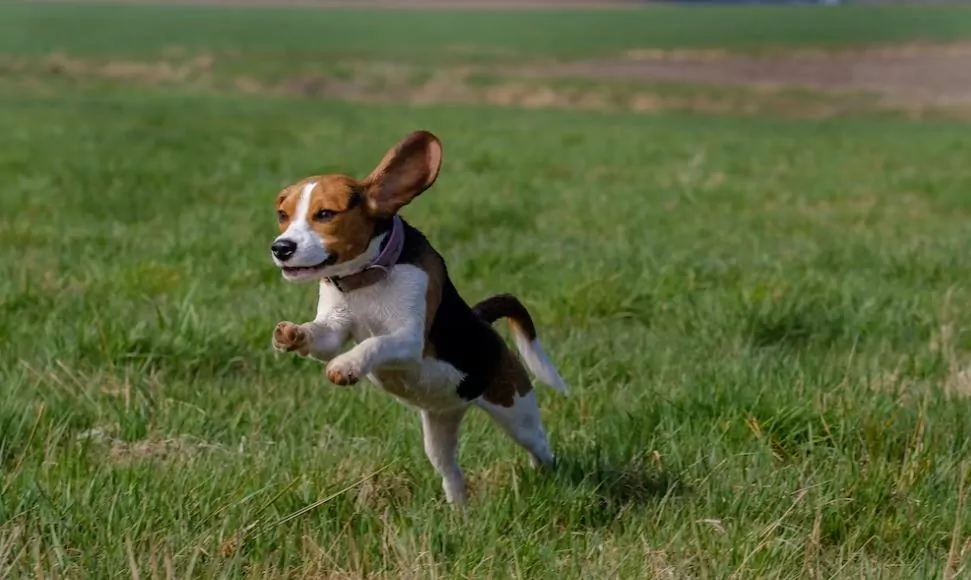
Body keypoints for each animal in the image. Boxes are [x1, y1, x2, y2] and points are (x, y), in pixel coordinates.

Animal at [268, 129, 568, 506]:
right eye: (283, 214)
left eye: (325, 214)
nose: (281, 248)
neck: (366, 279)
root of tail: (483, 323)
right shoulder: (334, 327)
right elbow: (321, 336)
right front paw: (290, 334)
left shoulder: (409, 340)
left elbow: (375, 343)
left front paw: (347, 365)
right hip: (439, 426)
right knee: (451, 472)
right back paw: (460, 512)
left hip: (517, 410)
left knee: (540, 446)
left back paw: (546, 475)